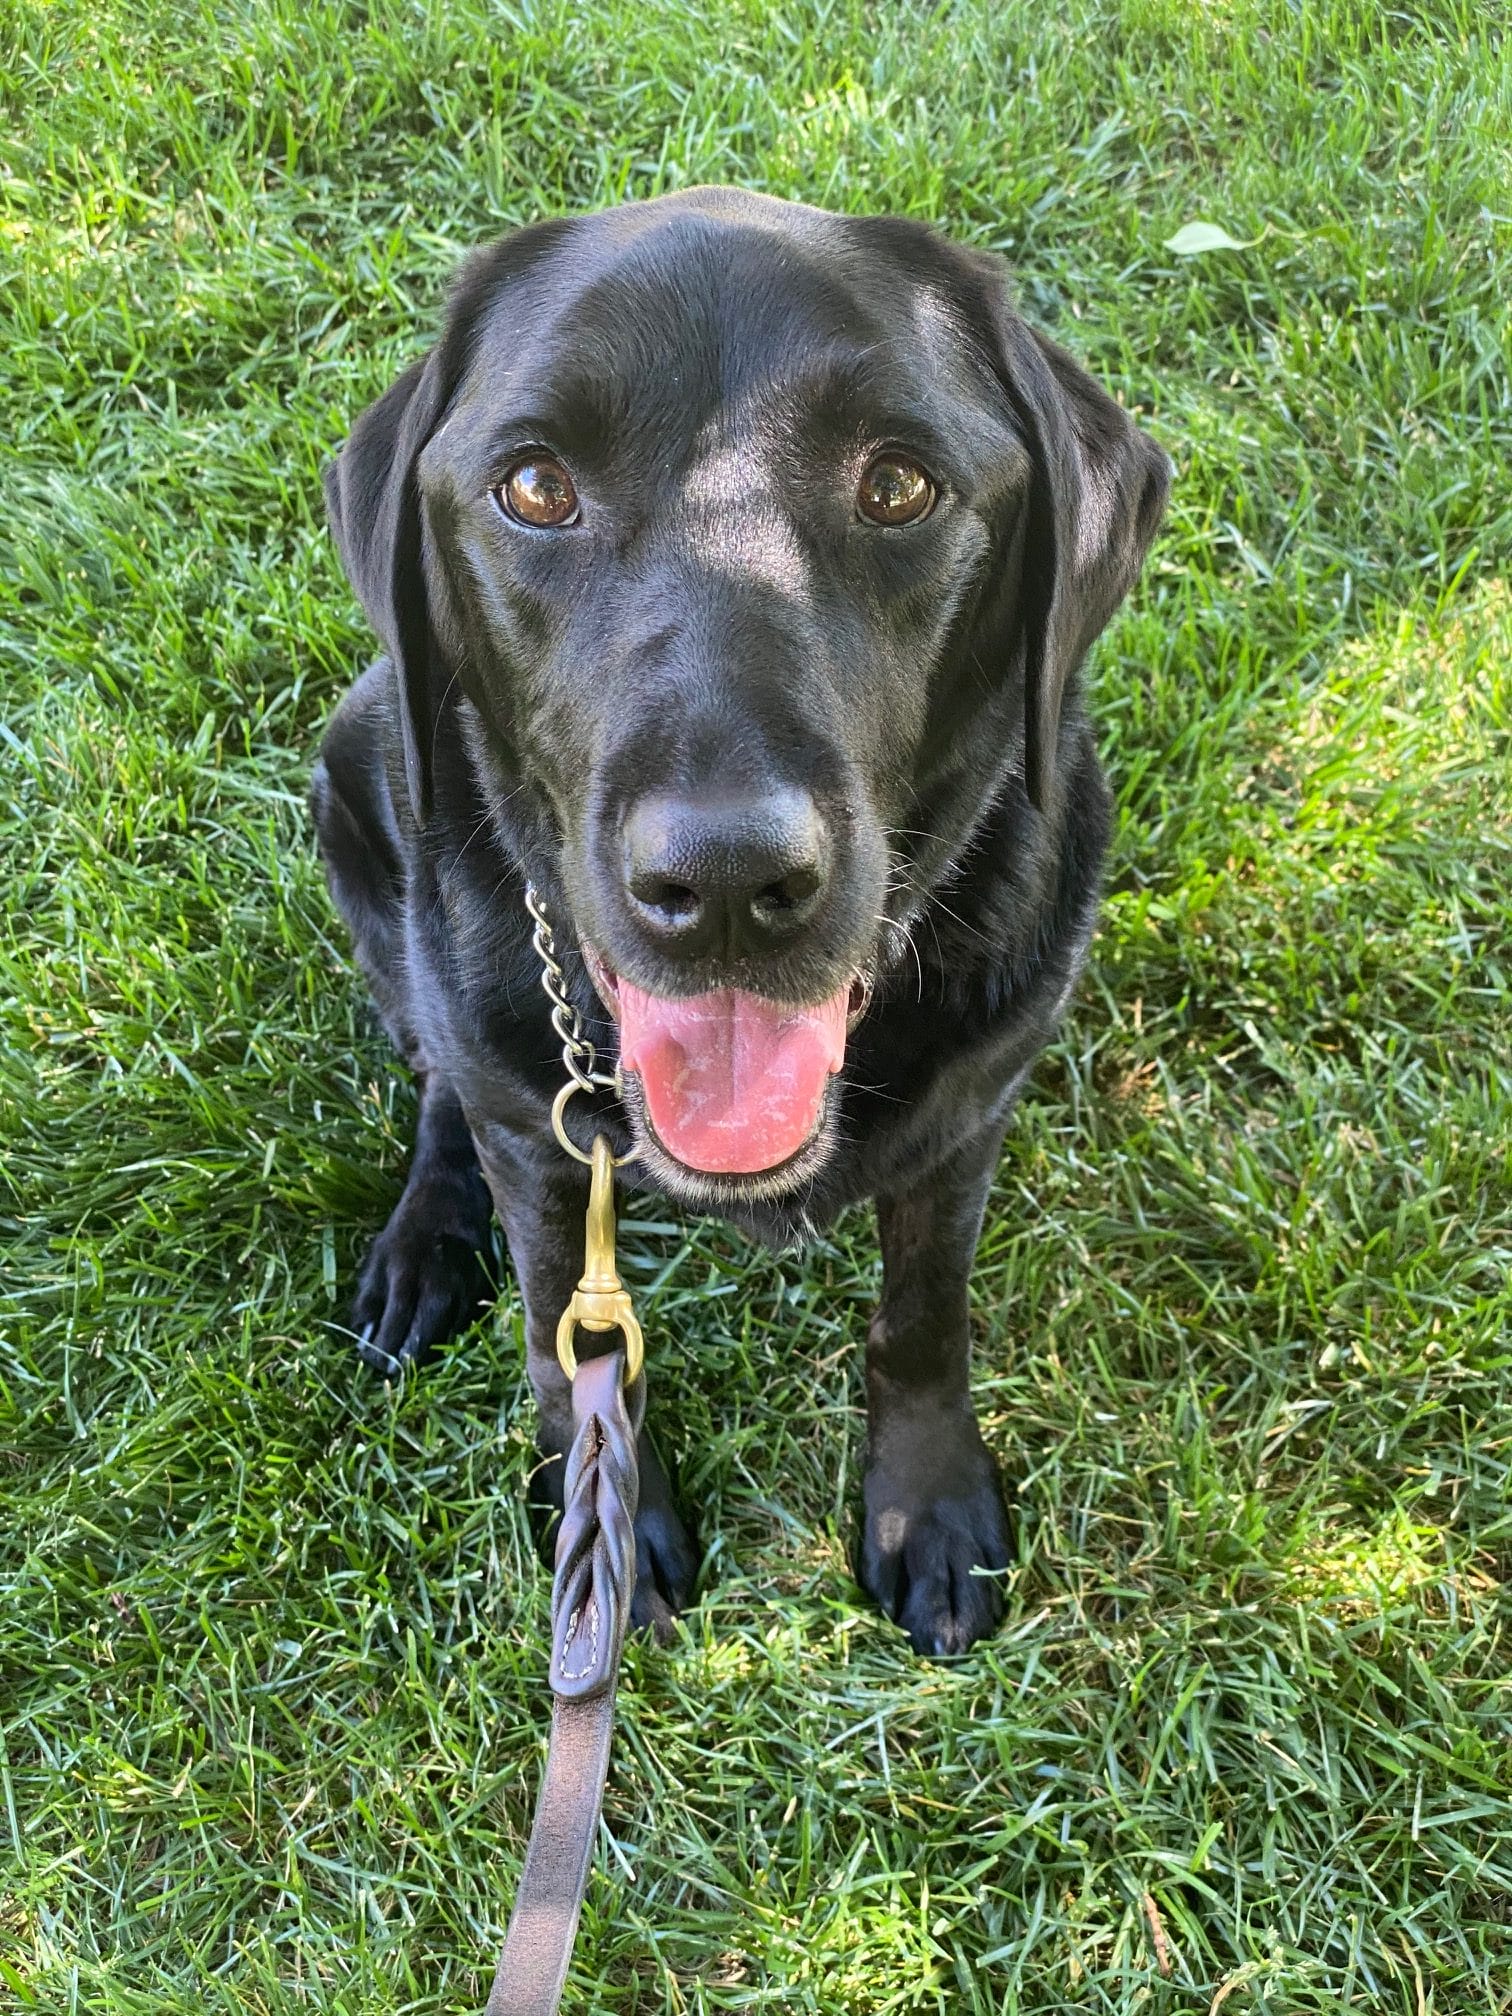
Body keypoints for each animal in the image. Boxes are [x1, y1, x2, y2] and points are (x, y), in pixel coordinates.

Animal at [311, 187, 1168, 1655]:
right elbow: (563, 1340)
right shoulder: (550, 1165)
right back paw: (422, 1243)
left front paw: (927, 1504)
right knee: (437, 1074)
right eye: (534, 487)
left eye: (898, 484)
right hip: (357, 774)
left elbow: (922, 1321)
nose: (722, 882)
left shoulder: (968, 1125)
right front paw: (601, 1526)